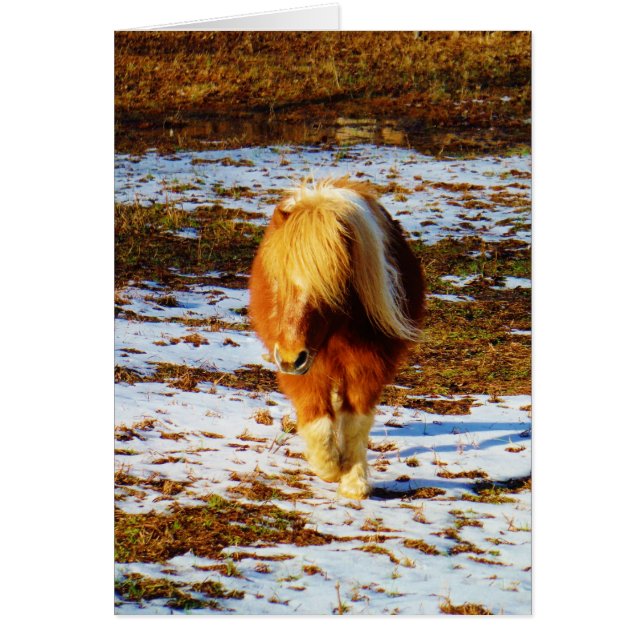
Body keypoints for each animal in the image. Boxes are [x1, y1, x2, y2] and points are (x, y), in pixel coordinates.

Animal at [249, 177, 424, 499]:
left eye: (331, 288)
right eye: (277, 281)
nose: (291, 358)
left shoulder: (369, 366)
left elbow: (355, 423)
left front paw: (354, 481)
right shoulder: (304, 369)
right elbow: (317, 419)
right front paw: (328, 467)